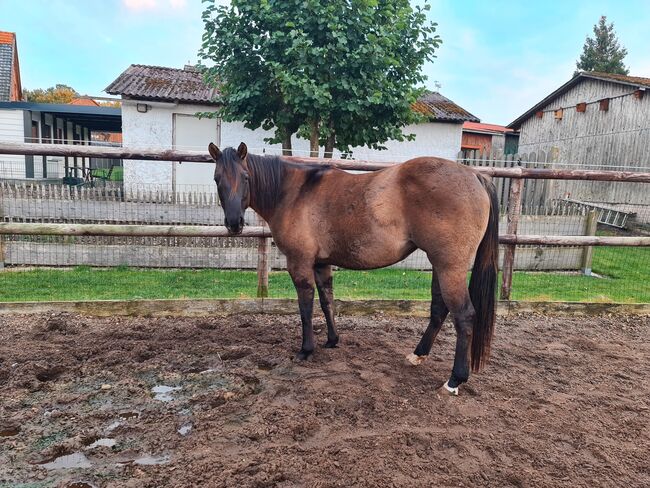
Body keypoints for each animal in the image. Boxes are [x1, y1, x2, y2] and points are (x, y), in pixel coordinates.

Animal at [210, 143, 498, 394]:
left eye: (245, 177)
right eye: (217, 179)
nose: (234, 223)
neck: (294, 192)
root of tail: (474, 175)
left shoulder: (299, 263)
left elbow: (305, 308)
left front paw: (306, 349)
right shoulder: (321, 264)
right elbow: (327, 302)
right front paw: (332, 340)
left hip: (450, 267)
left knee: (464, 315)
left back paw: (454, 380)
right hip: (439, 264)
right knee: (439, 309)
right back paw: (418, 355)